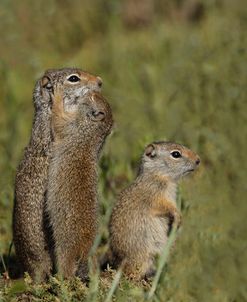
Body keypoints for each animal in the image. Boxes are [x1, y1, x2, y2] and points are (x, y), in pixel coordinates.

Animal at [45, 83, 113, 280]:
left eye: (93, 98)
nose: (94, 89)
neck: (91, 132)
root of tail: (86, 248)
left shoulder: (72, 127)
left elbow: (59, 121)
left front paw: (58, 96)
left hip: (63, 248)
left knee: (67, 266)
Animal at [108, 142, 201, 280]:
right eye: (176, 154)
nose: (198, 160)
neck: (158, 175)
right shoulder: (156, 197)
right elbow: (167, 207)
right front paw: (178, 217)